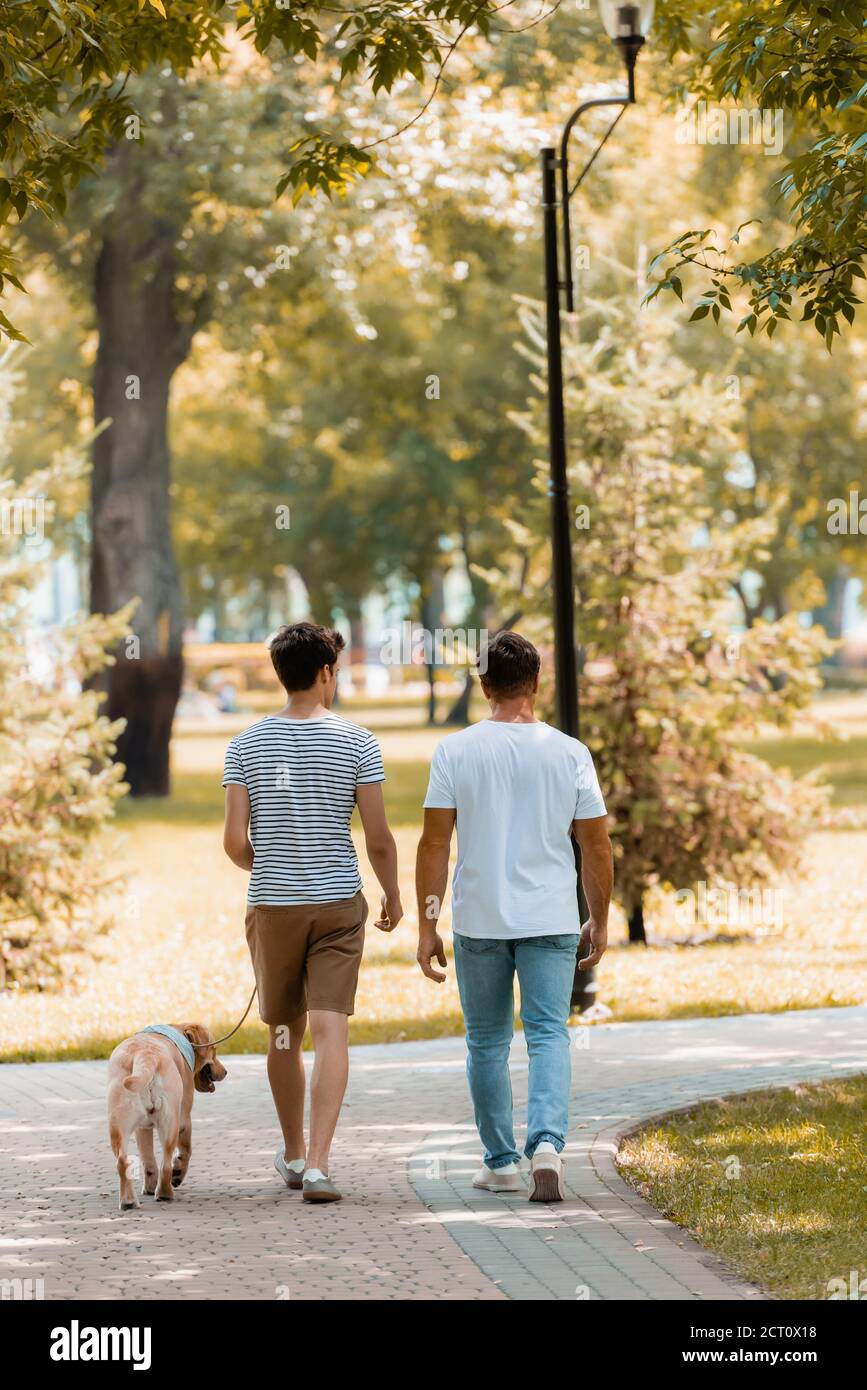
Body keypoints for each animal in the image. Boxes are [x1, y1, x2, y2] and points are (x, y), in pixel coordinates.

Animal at [106, 1023, 226, 1206]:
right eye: (214, 1049)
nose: (225, 1072)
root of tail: (146, 1055)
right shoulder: (185, 1119)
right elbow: (186, 1151)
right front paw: (178, 1173)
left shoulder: (142, 1129)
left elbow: (148, 1160)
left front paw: (149, 1186)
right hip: (171, 1122)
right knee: (167, 1164)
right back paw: (165, 1192)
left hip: (118, 1123)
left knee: (123, 1162)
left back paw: (129, 1201)